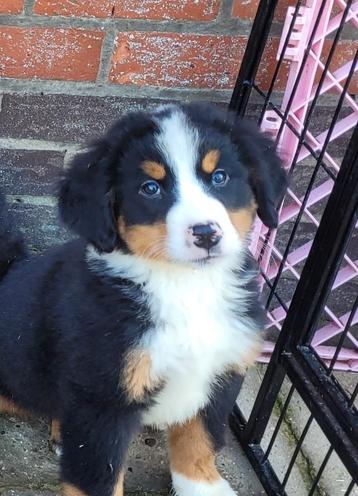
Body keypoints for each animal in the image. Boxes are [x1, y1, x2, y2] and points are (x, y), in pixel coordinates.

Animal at [0, 102, 286, 494]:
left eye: (219, 177)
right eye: (150, 188)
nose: (206, 234)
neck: (186, 287)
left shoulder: (222, 373)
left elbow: (199, 440)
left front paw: (202, 485)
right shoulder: (103, 399)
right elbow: (97, 478)